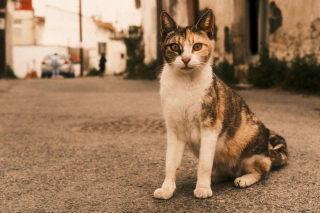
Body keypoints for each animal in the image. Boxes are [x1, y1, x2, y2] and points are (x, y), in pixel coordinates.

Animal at [153, 9, 288, 200]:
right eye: (174, 47)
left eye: (197, 46)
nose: (186, 59)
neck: (184, 84)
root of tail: (268, 151)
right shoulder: (174, 130)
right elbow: (171, 163)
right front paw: (167, 189)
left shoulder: (210, 127)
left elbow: (204, 164)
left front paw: (202, 188)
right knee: (226, 170)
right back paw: (216, 177)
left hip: (250, 142)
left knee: (261, 169)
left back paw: (244, 179)